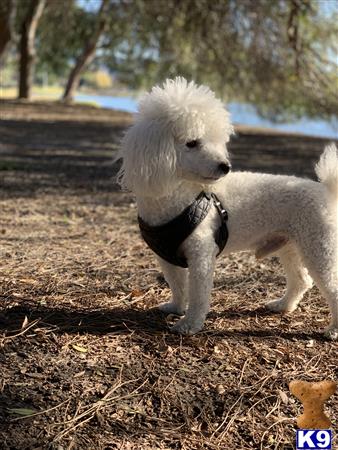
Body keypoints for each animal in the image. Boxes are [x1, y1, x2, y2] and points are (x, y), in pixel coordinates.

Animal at [117, 77, 338, 340]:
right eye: (191, 143)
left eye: (216, 141)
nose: (226, 166)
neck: (180, 198)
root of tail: (326, 192)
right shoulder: (166, 257)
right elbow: (177, 286)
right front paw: (175, 308)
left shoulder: (201, 255)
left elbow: (198, 295)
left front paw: (189, 325)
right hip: (291, 246)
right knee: (301, 280)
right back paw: (282, 306)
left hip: (319, 248)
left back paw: (333, 330)